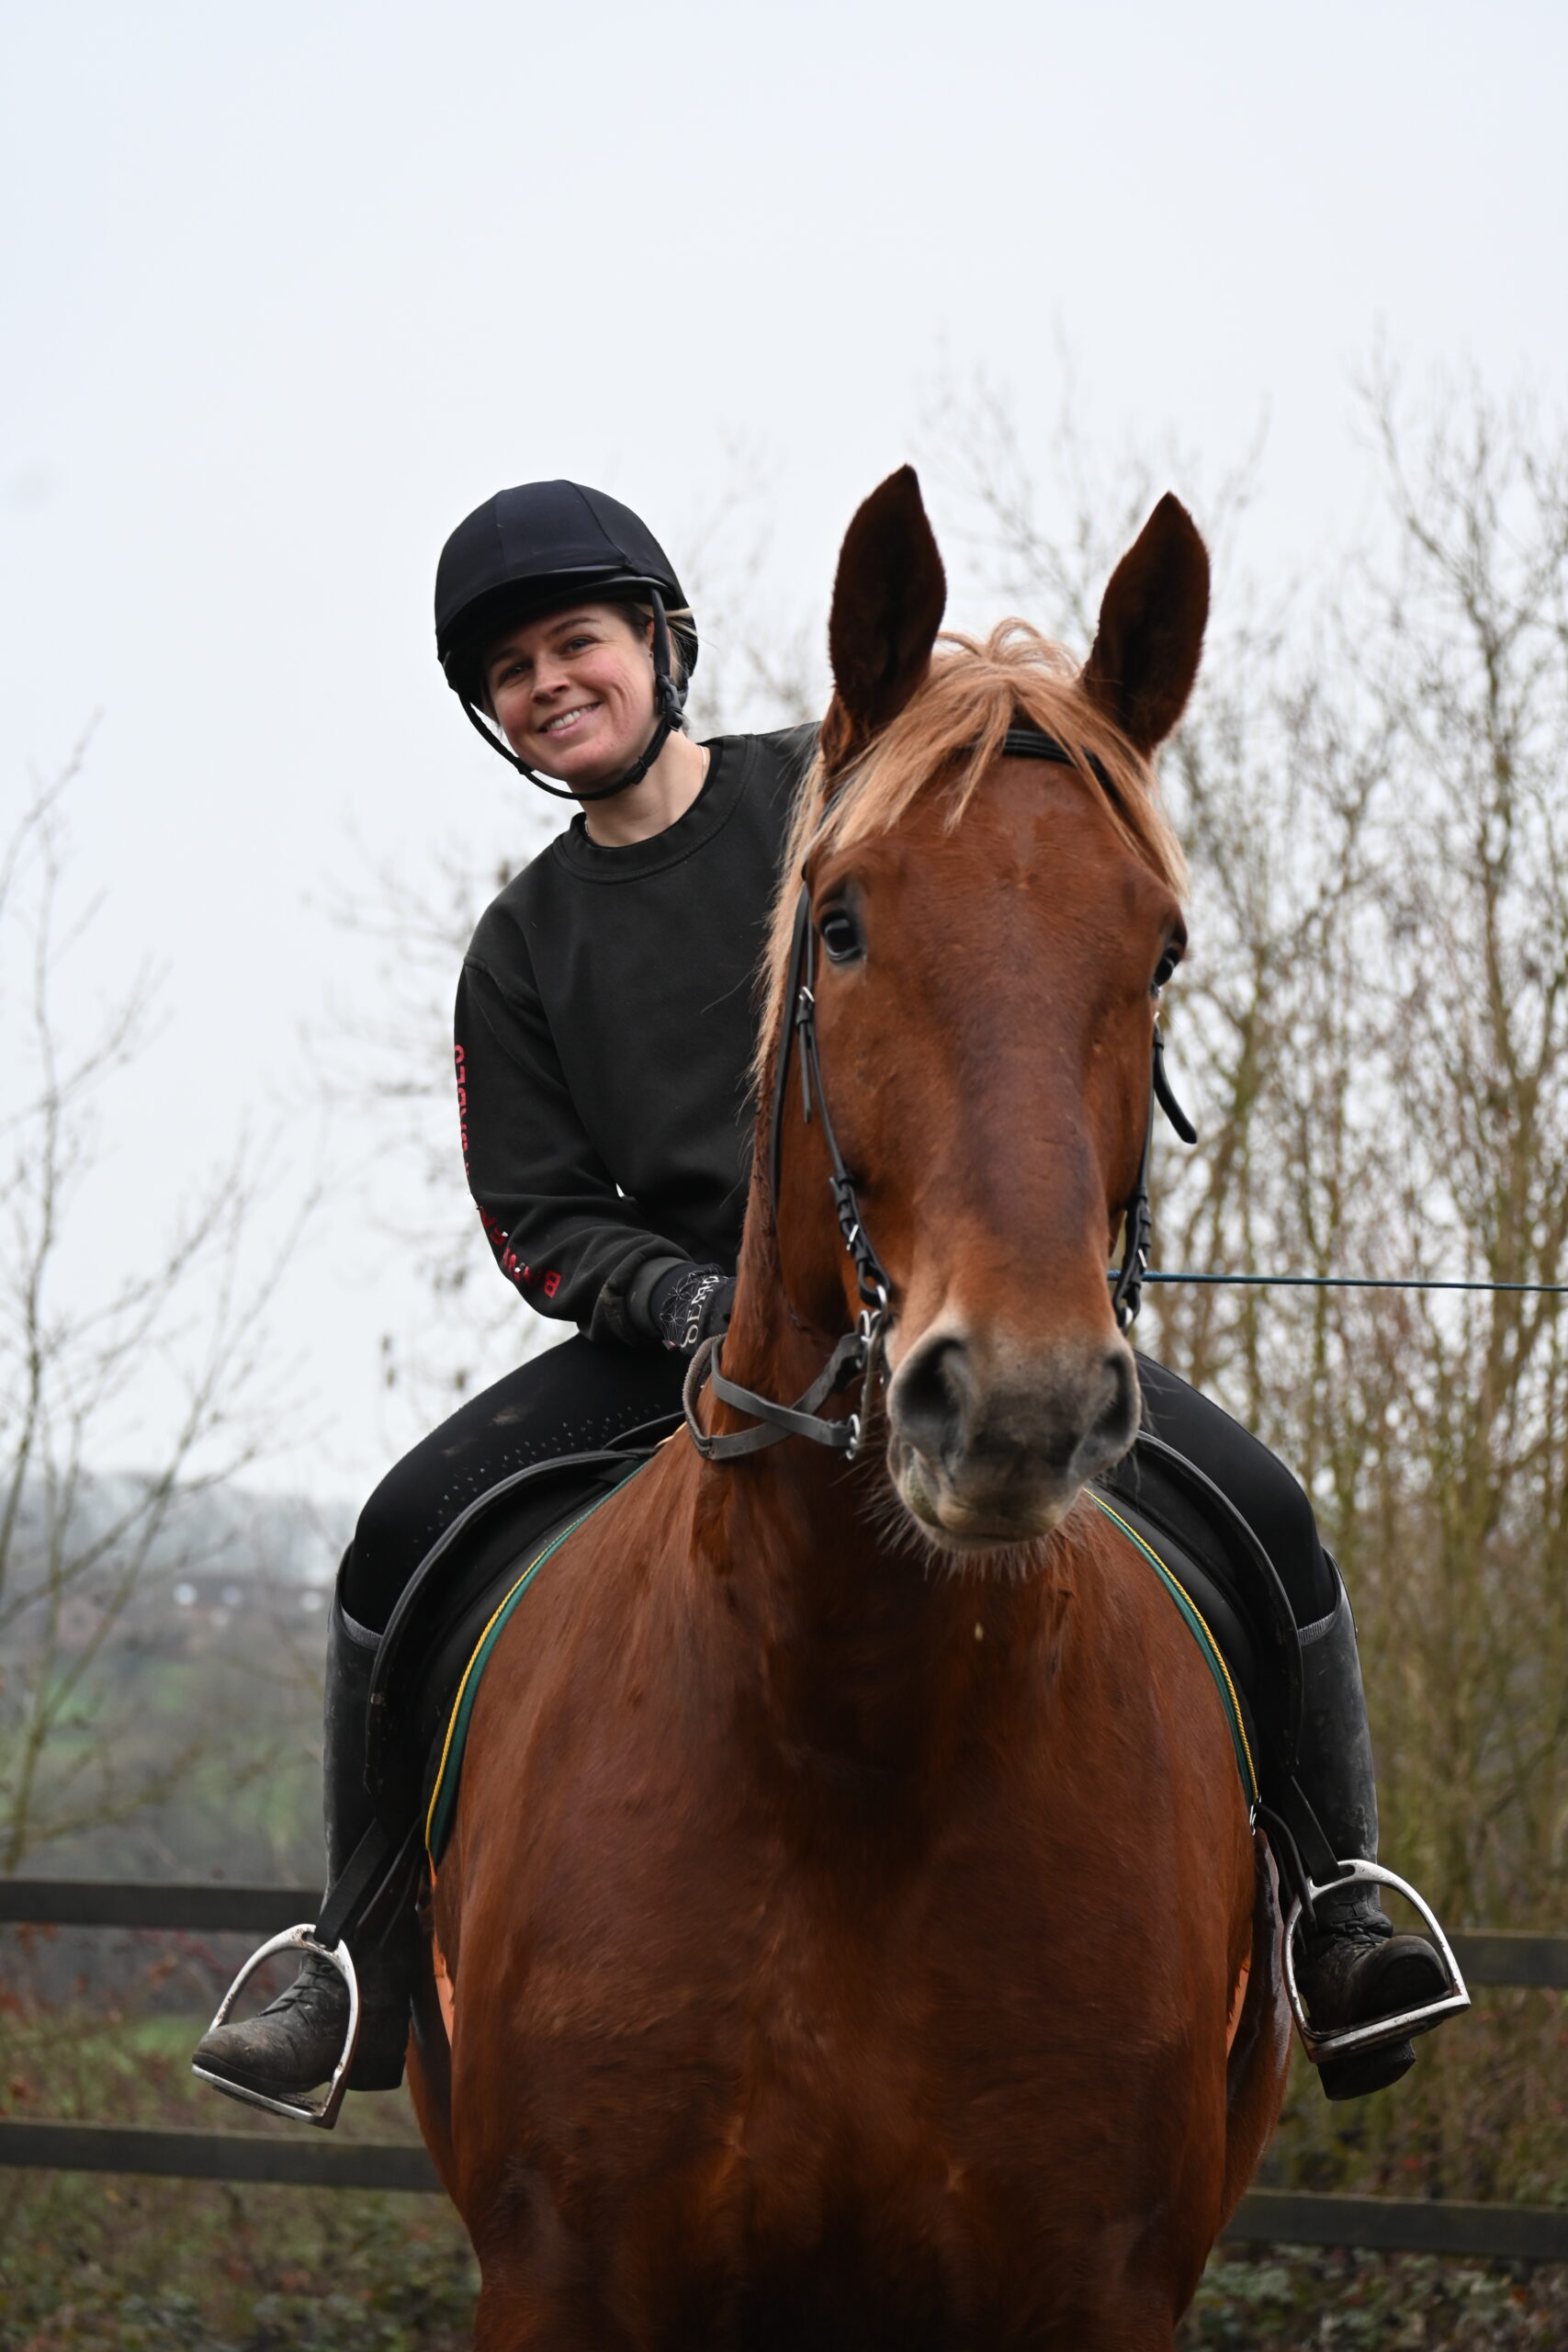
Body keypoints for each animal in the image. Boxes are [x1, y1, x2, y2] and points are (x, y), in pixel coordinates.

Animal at [407, 468, 1292, 2350]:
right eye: (842, 919)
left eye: (1161, 949)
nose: (1013, 1403)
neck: (850, 1729)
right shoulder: (559, 2281)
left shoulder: (1089, 2288)